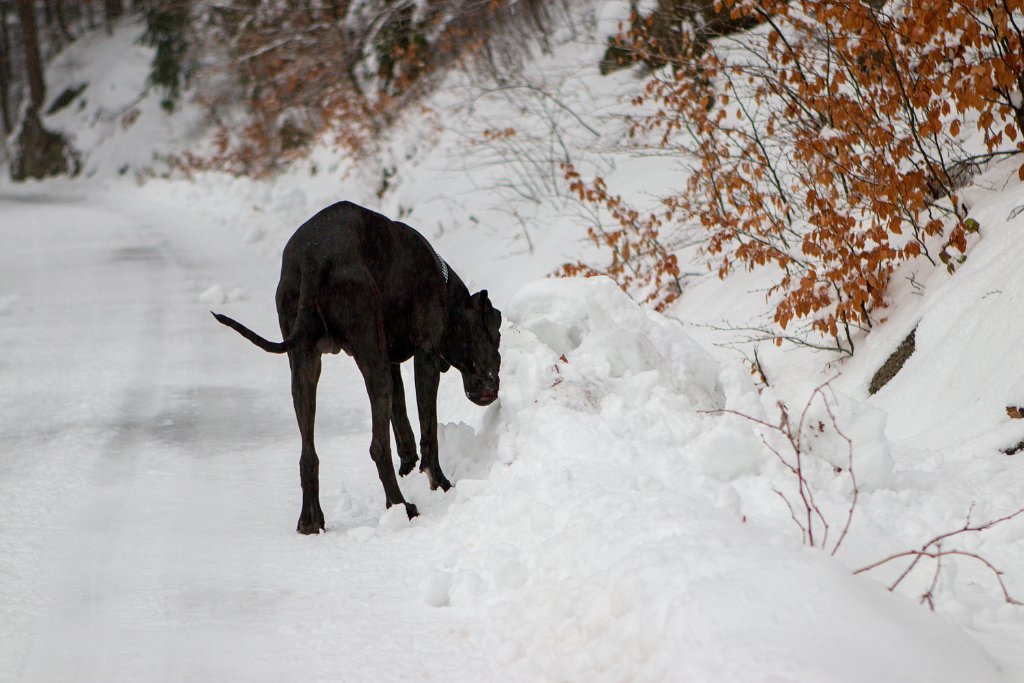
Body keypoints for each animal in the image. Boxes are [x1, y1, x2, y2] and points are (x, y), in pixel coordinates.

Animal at [214, 200, 501, 532]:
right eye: (497, 336)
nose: (493, 384)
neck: (445, 289)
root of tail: (313, 256)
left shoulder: (390, 363)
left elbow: (402, 425)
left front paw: (409, 470)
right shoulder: (425, 356)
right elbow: (427, 430)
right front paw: (439, 483)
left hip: (306, 364)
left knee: (308, 453)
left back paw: (311, 519)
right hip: (369, 356)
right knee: (378, 447)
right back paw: (400, 506)